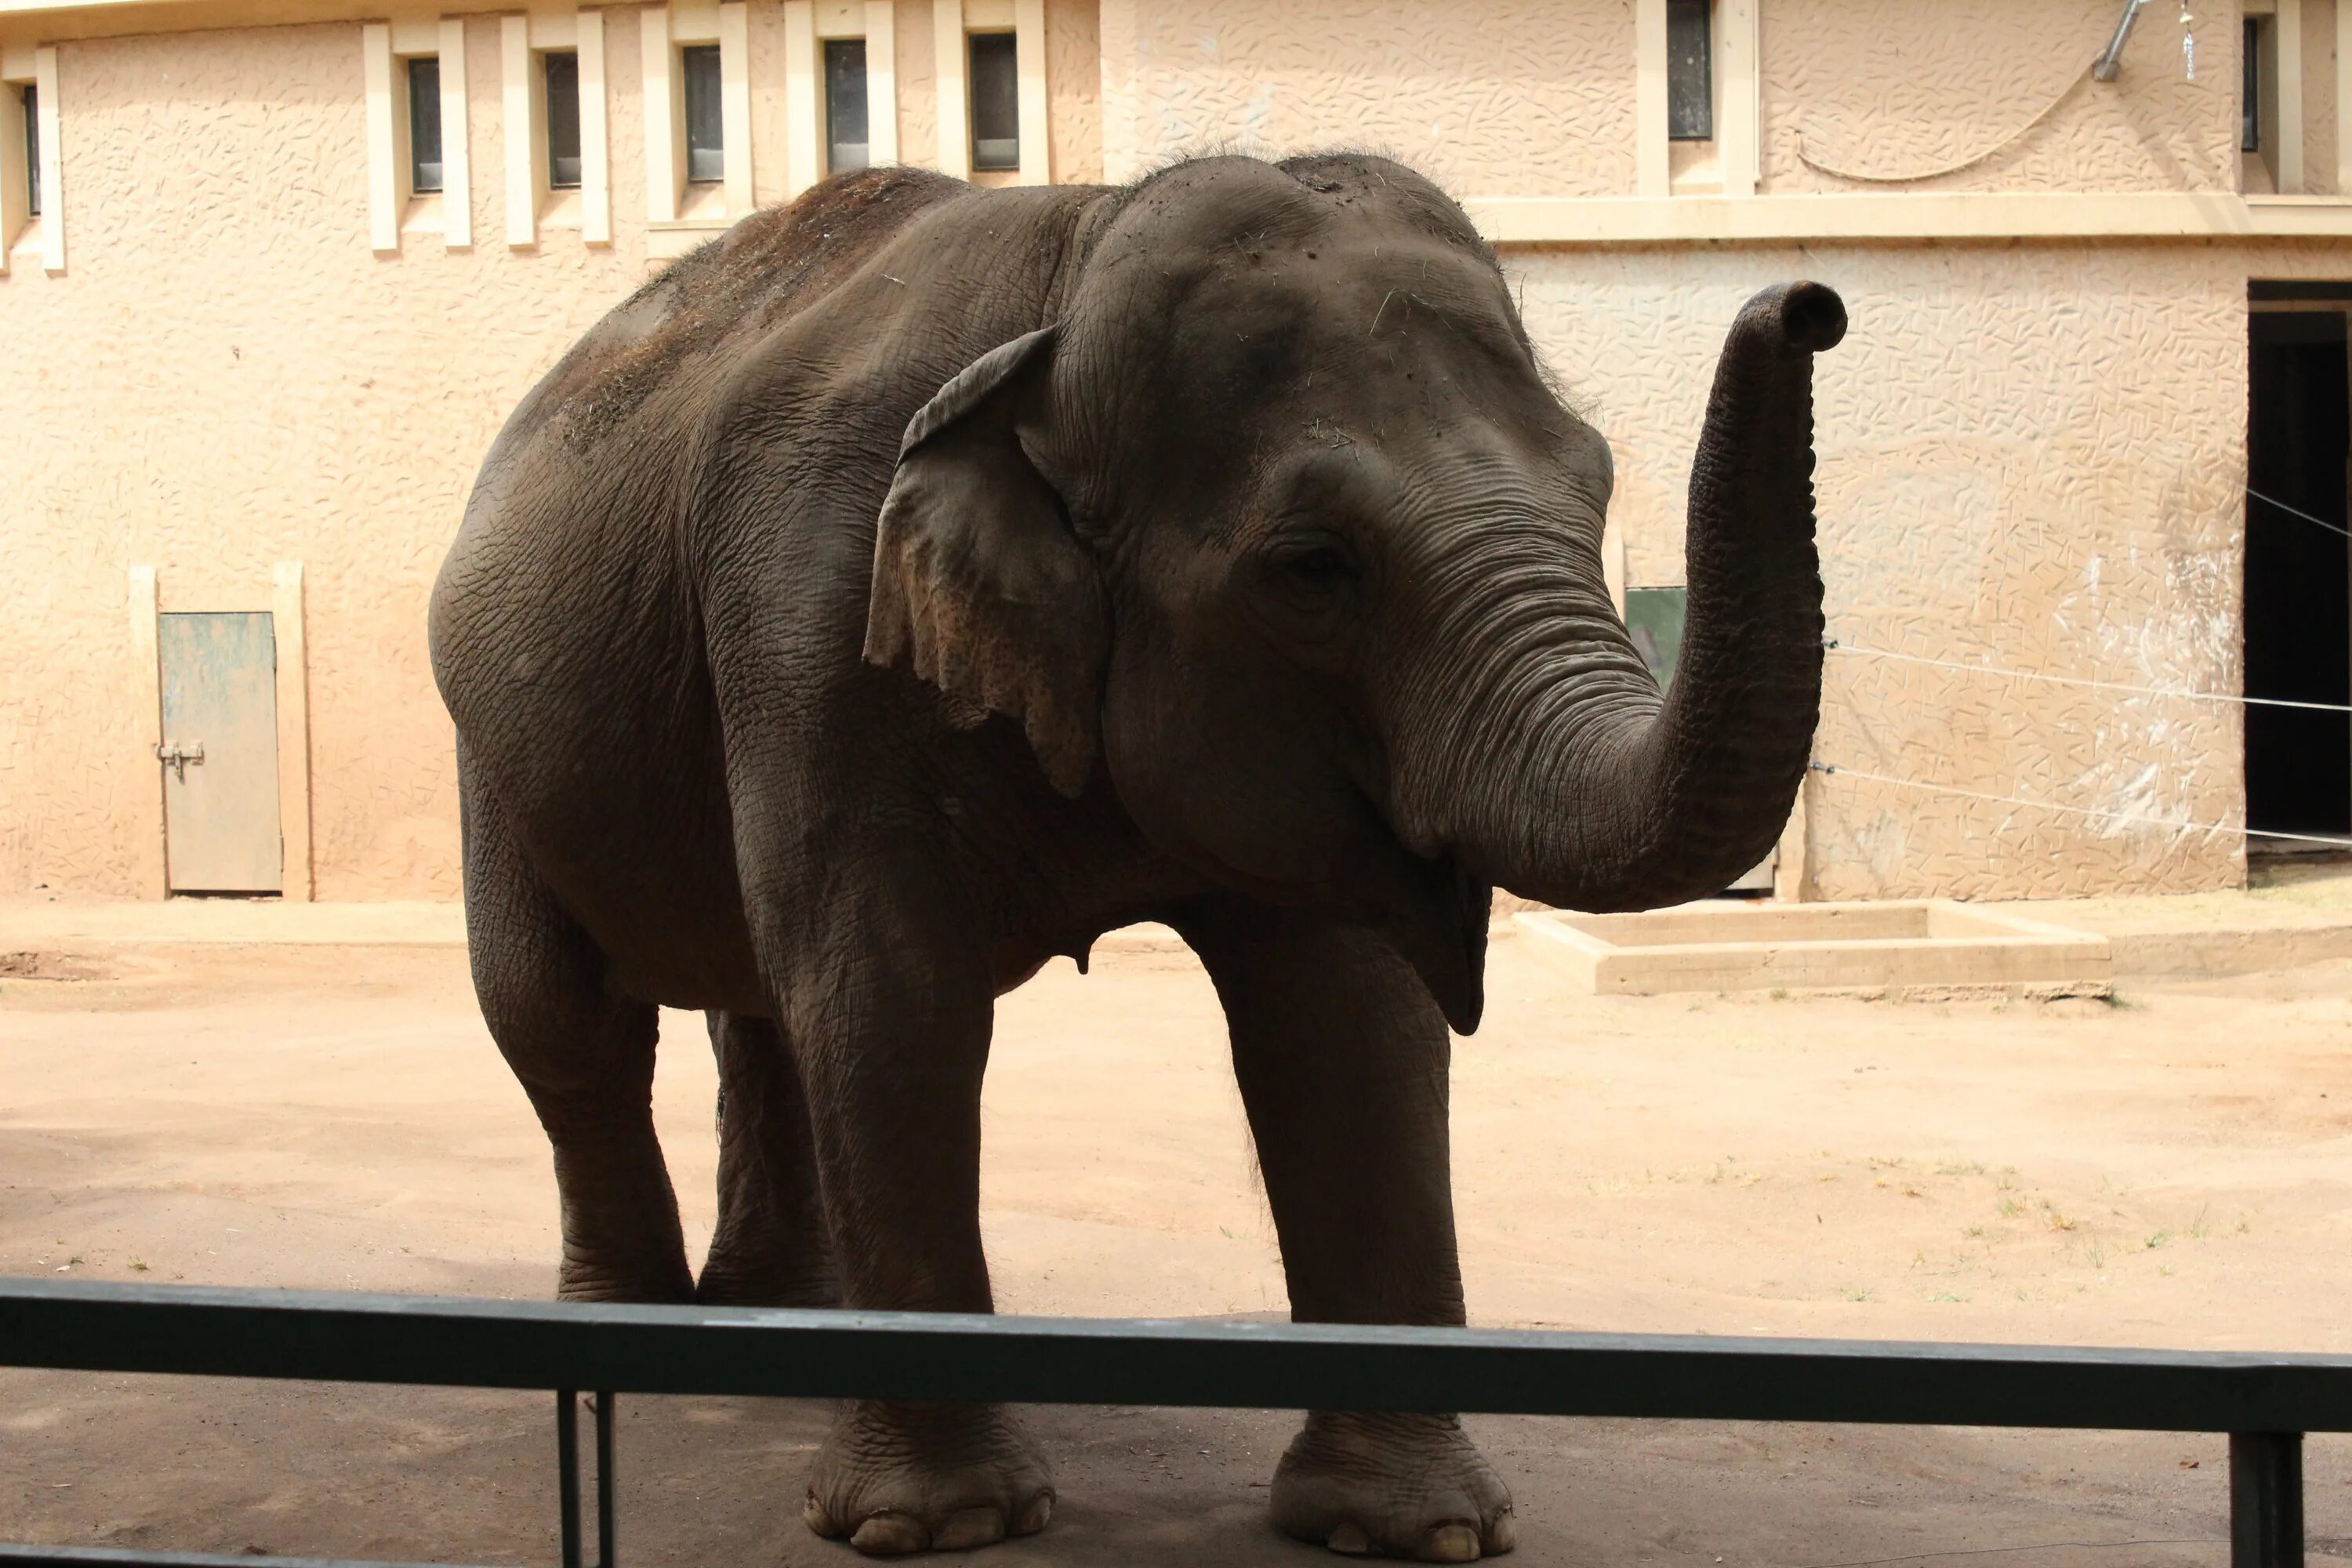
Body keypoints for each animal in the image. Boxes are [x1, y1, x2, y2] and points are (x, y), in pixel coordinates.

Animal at [433, 152, 1844, 1561]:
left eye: (1595, 487)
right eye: (1314, 567)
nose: (1809, 303)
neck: (1067, 284)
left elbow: (1347, 1020)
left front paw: (1416, 1530)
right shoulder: (815, 627)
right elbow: (890, 995)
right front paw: (943, 1523)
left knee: (757, 1019)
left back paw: (775, 1327)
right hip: (491, 752)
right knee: (565, 1023)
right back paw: (633, 1348)